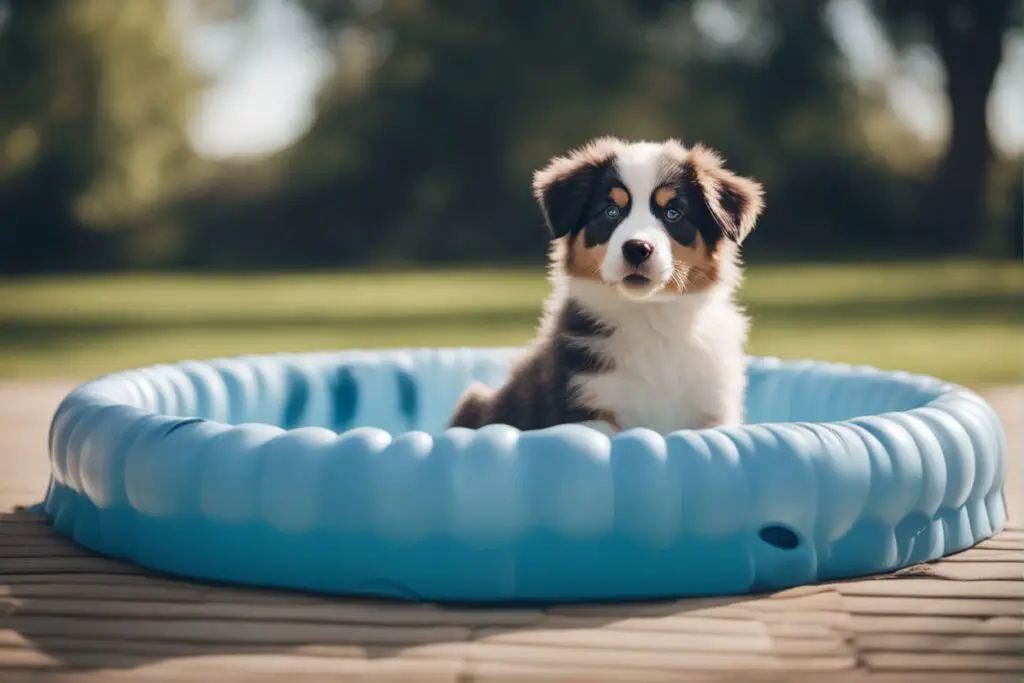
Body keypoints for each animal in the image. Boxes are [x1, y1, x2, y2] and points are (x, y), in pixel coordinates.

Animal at [452, 137, 765, 438]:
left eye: (673, 213)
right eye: (611, 211)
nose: (637, 248)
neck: (650, 318)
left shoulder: (713, 410)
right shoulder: (589, 403)